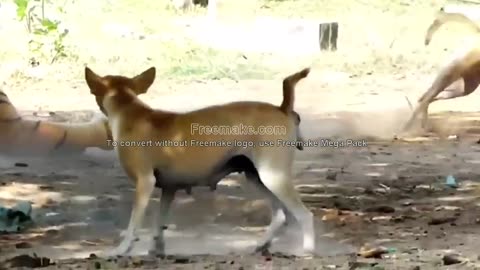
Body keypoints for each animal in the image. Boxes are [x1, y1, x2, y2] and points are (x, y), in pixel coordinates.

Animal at [83, 66, 316, 256]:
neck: (130, 111)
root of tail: (282, 108)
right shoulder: (169, 189)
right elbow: (160, 223)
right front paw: (157, 250)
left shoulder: (144, 183)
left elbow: (133, 224)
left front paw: (122, 249)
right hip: (258, 177)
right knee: (280, 216)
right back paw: (262, 245)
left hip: (273, 176)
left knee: (305, 215)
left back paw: (306, 250)